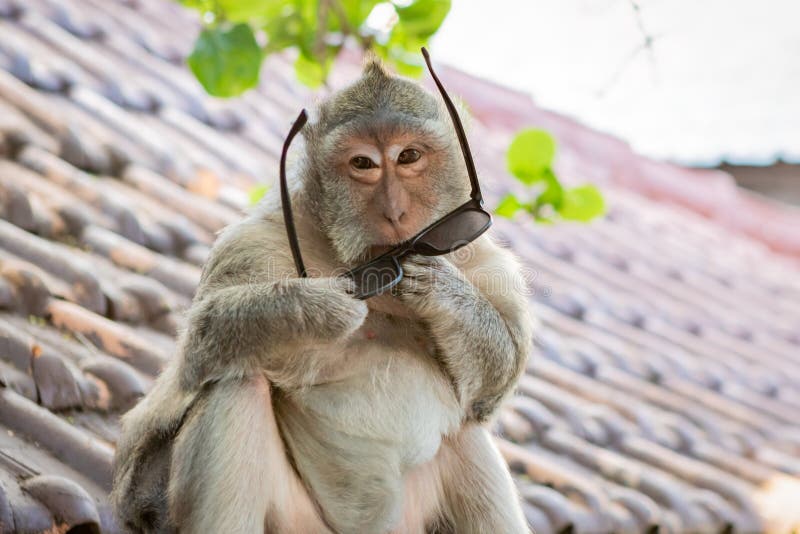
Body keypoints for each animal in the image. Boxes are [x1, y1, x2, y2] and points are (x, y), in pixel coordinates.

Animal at [111, 56, 533, 534]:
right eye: (363, 163)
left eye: (409, 156)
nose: (395, 211)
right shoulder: (256, 241)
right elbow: (201, 343)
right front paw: (315, 308)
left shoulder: (492, 268)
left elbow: (491, 391)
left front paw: (442, 290)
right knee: (236, 386)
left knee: (467, 436)